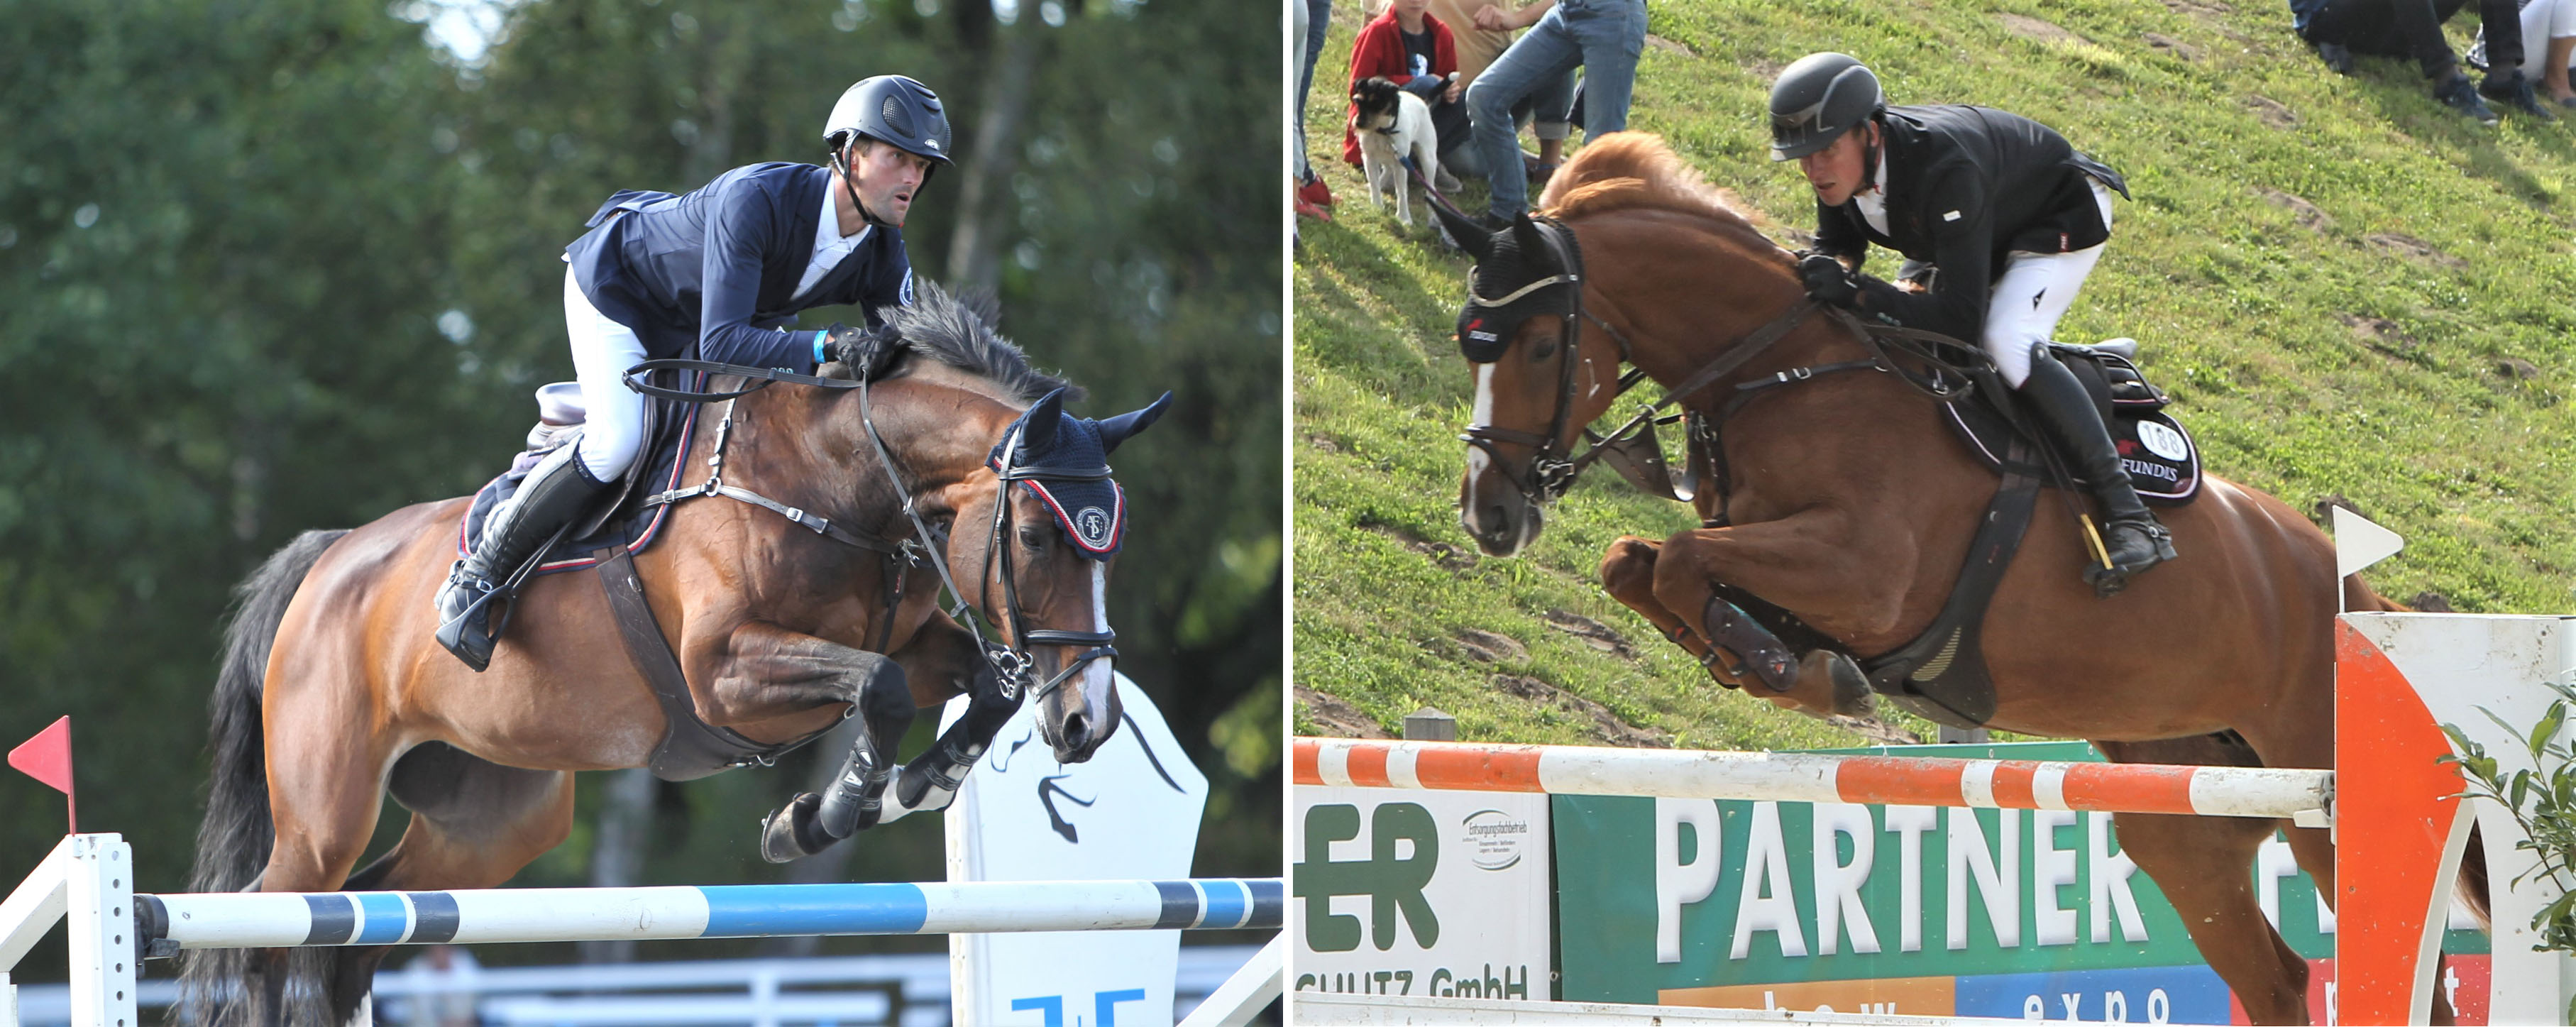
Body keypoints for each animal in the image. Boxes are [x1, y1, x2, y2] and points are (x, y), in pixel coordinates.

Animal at [168, 289, 1159, 1027]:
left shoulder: (908, 643)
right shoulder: (726, 676)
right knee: (261, 937)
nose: (1088, 722)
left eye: (1111, 546)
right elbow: (876, 692)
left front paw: (915, 786)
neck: (838, 478)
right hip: (322, 818)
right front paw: (819, 816)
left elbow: (976, 686)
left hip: (491, 821)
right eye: (1034, 535)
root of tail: (329, 559)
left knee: (362, 934)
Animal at [1350, 77, 1453, 229]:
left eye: (1377, 103)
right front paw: (1377, 205)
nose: (1358, 124)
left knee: (1431, 189)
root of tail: (1423, 102)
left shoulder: (1401, 164)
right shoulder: (1369, 158)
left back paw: (1433, 217)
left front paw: (1404, 217)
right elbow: (1374, 184)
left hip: (1428, 158)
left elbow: (1402, 192)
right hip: (1386, 156)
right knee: (1387, 170)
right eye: (1357, 101)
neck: (1383, 131)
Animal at [1453, 132, 2431, 1024]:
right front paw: (1781, 663)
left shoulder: (1866, 576)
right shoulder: (1783, 558)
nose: (1487, 514)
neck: (1784, 372)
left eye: (1538, 348)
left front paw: (1794, 674)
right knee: (2278, 980)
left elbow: (1687, 561)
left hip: (2321, 803)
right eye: (1473, 347)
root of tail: (2359, 594)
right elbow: (1637, 563)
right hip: (2183, 817)